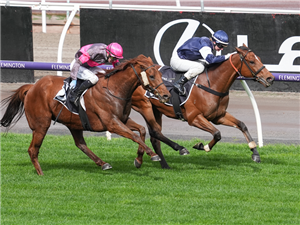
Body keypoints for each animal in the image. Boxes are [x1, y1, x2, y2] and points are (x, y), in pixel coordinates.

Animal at [0, 55, 171, 176]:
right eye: (152, 75)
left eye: (160, 75)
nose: (166, 95)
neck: (115, 89)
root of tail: (32, 87)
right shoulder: (111, 123)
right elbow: (135, 136)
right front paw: (153, 155)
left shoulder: (122, 119)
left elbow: (142, 130)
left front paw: (139, 160)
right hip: (41, 124)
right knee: (33, 149)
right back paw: (40, 173)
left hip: (74, 123)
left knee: (80, 144)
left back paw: (103, 163)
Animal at [131, 44, 274, 168]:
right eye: (251, 61)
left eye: (259, 59)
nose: (270, 78)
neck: (212, 83)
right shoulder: (194, 117)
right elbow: (217, 133)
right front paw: (202, 146)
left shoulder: (219, 116)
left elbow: (242, 125)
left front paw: (255, 153)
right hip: (145, 106)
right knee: (154, 132)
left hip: (157, 110)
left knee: (155, 137)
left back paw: (162, 164)